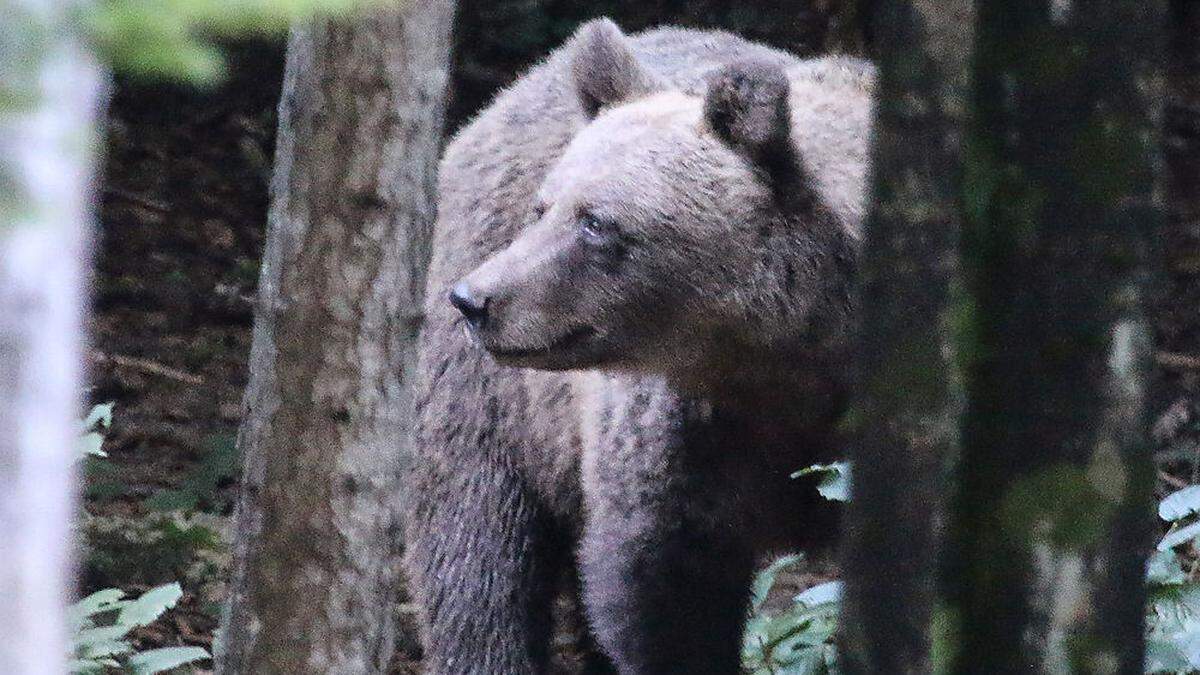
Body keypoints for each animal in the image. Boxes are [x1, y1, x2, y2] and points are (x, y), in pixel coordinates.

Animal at [403, 17, 873, 672]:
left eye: (596, 222)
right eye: (543, 208)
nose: (476, 299)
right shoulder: (686, 441)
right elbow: (659, 587)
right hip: (498, 405)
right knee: (477, 551)